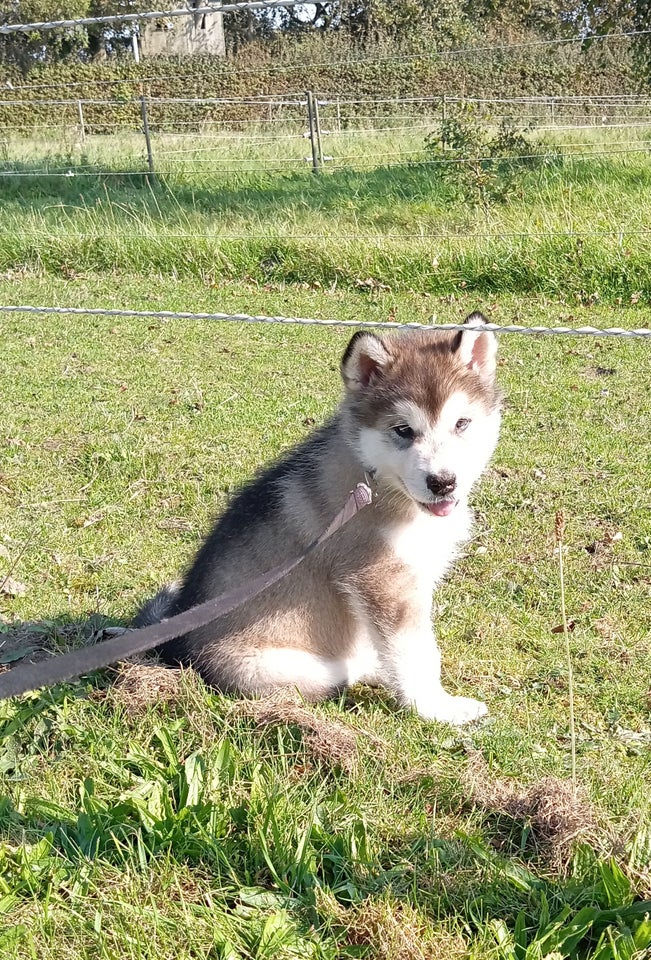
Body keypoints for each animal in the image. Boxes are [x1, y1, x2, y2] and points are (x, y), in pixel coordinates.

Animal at [138, 312, 504, 724]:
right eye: (403, 430)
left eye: (462, 423)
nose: (443, 483)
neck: (376, 480)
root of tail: (175, 649)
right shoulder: (381, 579)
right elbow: (416, 653)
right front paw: (436, 707)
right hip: (291, 667)